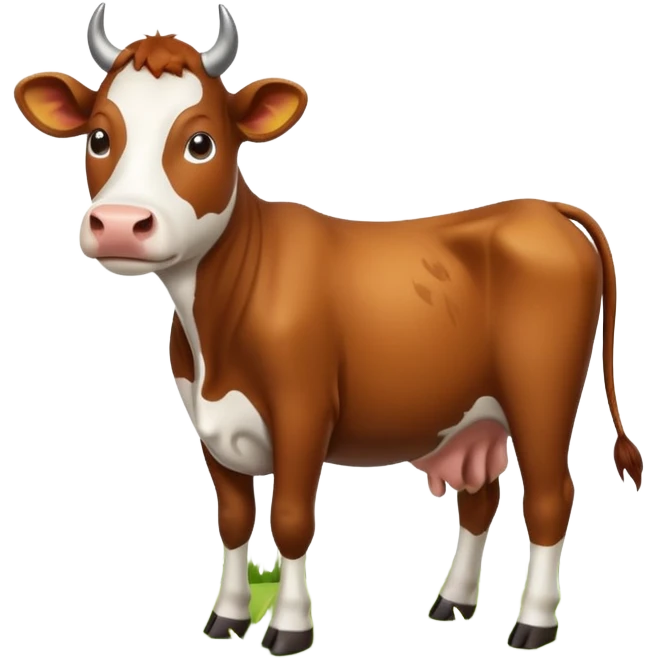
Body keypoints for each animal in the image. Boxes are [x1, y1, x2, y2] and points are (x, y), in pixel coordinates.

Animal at [13, 2, 643, 654]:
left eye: (200, 142)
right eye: (99, 137)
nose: (117, 223)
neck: (213, 330)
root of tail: (541, 208)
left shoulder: (303, 410)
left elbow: (291, 519)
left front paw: (288, 627)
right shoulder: (208, 422)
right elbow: (234, 520)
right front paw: (228, 618)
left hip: (541, 396)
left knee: (550, 497)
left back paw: (533, 623)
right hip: (476, 417)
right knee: (480, 500)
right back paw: (452, 602)